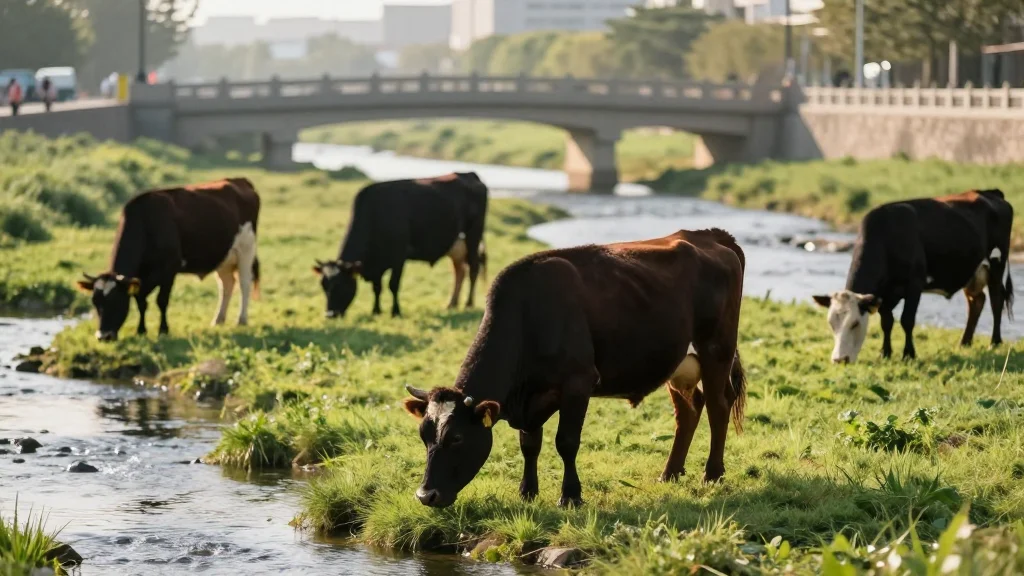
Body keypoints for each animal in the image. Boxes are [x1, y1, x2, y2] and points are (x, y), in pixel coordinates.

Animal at [77, 178, 261, 341]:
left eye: (116, 301)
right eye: (95, 301)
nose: (103, 336)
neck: (147, 223)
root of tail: (240, 181)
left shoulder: (169, 270)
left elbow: (161, 301)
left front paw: (163, 330)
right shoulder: (140, 278)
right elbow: (141, 301)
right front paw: (141, 331)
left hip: (246, 249)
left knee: (244, 283)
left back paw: (241, 320)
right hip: (224, 257)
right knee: (226, 285)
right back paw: (218, 319)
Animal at [314, 172, 488, 318]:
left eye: (341, 285)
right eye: (324, 285)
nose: (330, 314)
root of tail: (469, 174)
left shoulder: (398, 258)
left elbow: (393, 285)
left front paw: (396, 311)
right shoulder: (377, 264)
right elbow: (377, 287)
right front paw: (376, 311)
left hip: (473, 237)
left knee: (473, 268)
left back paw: (468, 304)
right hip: (456, 246)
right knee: (459, 271)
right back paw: (452, 304)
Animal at [402, 229, 747, 508]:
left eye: (457, 438)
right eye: (423, 436)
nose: (425, 495)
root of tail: (709, 235)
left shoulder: (578, 383)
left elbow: (566, 442)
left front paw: (570, 496)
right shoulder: (531, 399)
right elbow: (530, 445)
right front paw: (527, 492)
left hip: (717, 352)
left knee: (718, 406)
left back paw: (712, 474)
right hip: (678, 365)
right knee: (689, 410)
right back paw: (670, 473)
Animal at [813, 189, 1014, 363]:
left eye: (855, 323)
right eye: (831, 323)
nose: (839, 359)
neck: (887, 239)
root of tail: (990, 192)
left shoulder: (914, 285)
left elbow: (907, 320)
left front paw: (908, 354)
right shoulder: (884, 294)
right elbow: (887, 322)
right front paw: (885, 353)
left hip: (997, 263)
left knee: (996, 300)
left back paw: (994, 342)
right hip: (972, 271)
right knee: (976, 301)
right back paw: (964, 342)